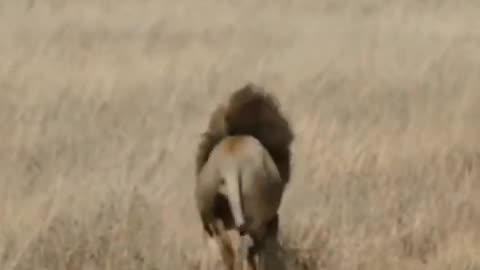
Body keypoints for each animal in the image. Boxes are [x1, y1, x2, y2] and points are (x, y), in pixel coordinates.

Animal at [194, 83, 292, 268]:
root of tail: (230, 166)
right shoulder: (269, 221)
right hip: (253, 220)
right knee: (243, 251)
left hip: (216, 220)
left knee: (229, 253)